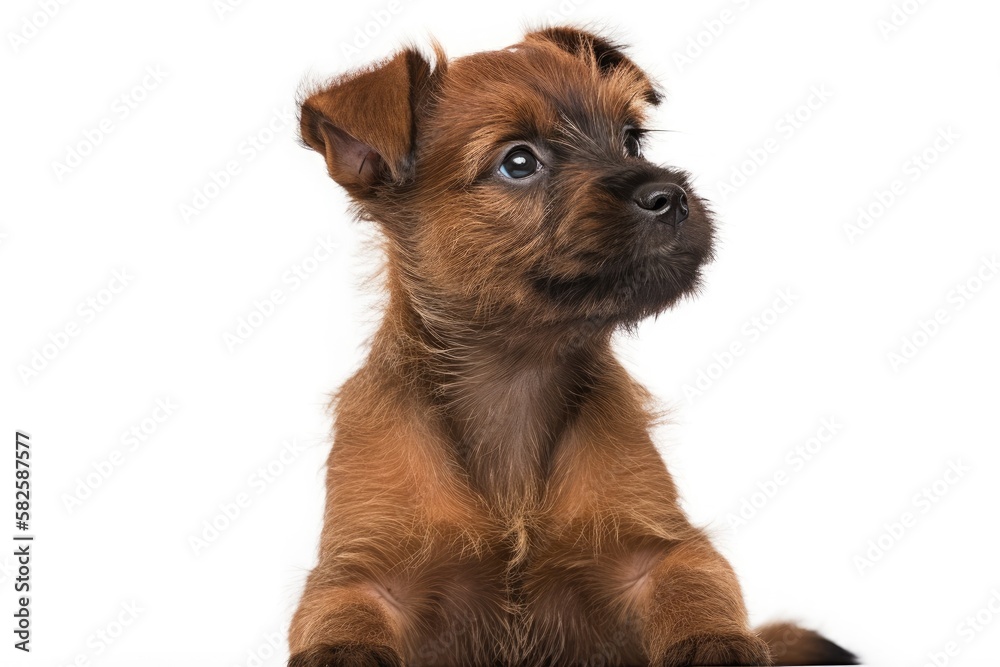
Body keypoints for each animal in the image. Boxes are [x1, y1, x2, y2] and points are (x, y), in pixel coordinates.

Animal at [286, 26, 856, 667]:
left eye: (631, 140)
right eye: (518, 162)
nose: (670, 195)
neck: (516, 381)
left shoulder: (659, 551)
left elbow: (697, 589)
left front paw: (716, 644)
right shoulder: (359, 575)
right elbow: (342, 618)